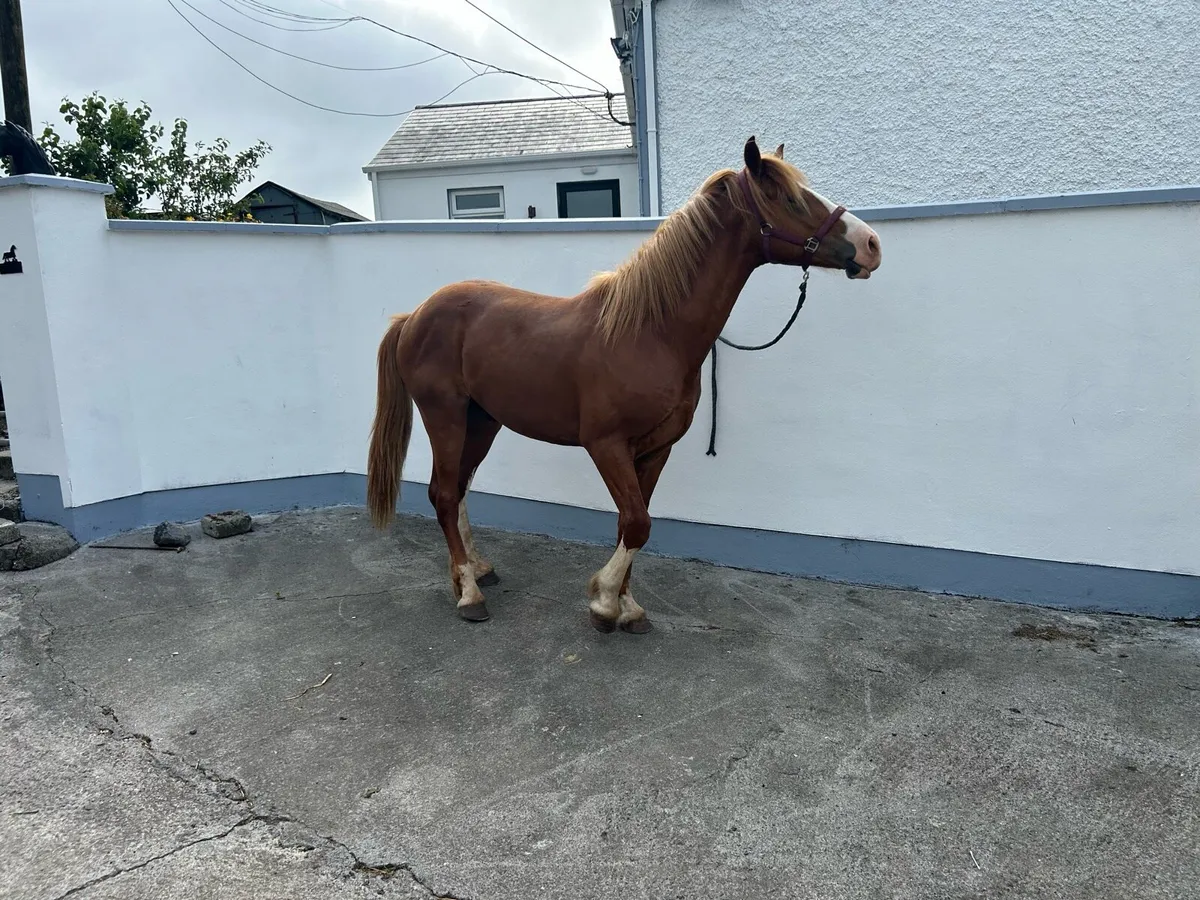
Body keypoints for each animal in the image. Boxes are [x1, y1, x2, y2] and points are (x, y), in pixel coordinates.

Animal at [367, 136, 882, 634]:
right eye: (786, 197)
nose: (872, 244)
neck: (651, 332)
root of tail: (414, 315)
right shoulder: (606, 444)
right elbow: (637, 524)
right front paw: (603, 602)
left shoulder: (654, 450)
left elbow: (631, 525)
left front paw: (627, 607)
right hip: (445, 416)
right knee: (443, 494)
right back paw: (470, 595)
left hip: (483, 421)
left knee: (459, 489)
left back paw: (475, 570)